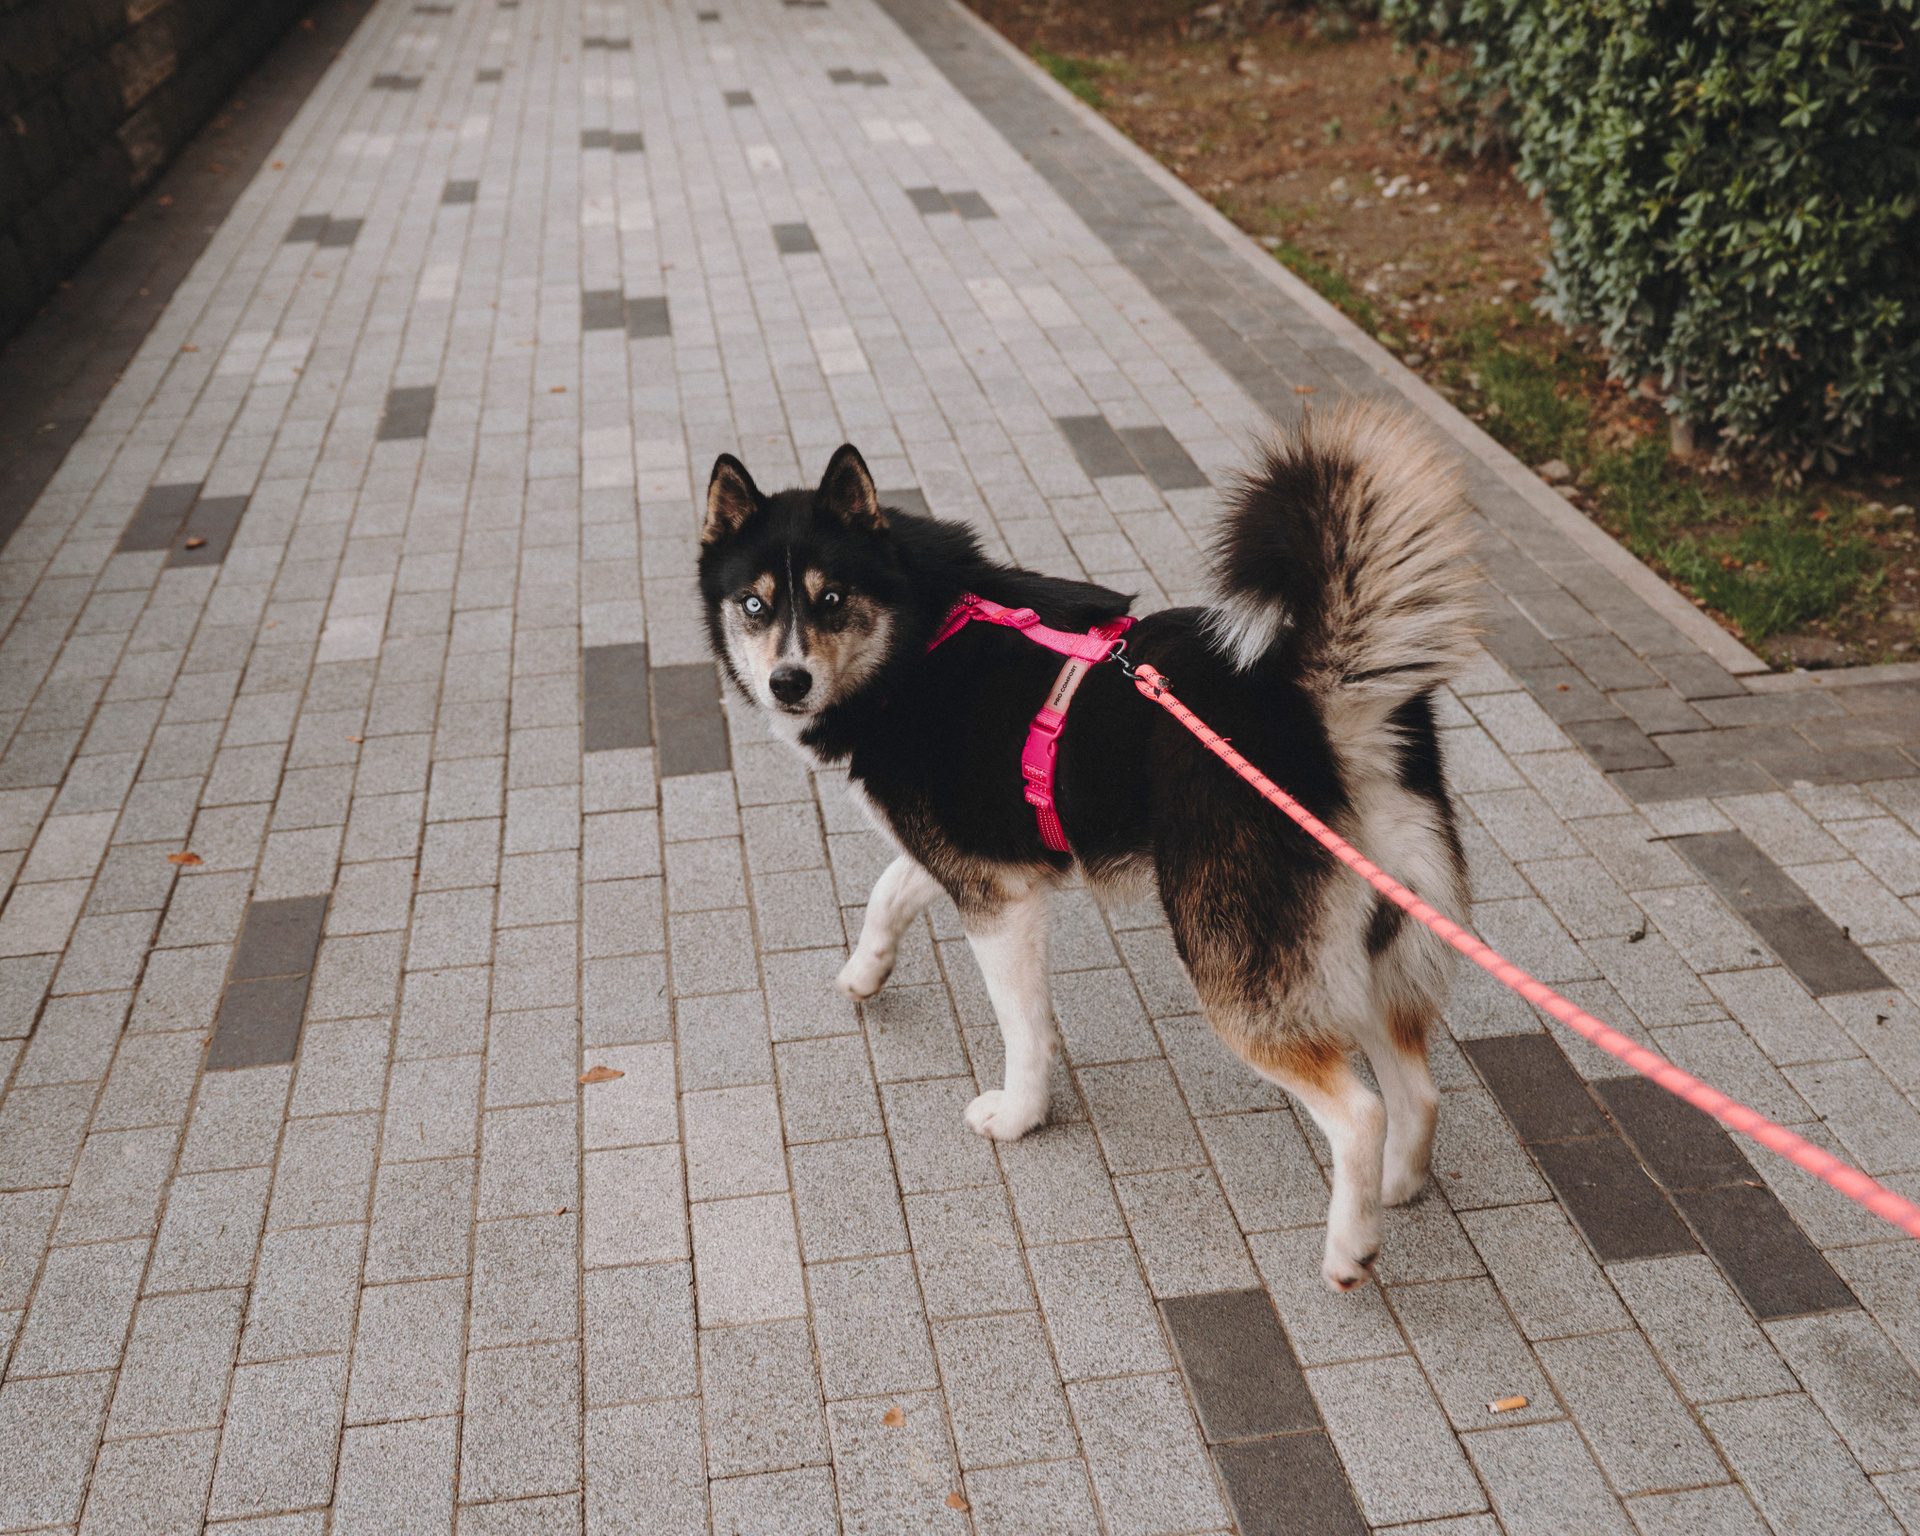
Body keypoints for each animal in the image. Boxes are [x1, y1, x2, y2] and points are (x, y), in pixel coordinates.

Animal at [698, 405, 1478, 1289]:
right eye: (754, 605)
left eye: (831, 599)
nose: (787, 681)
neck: (921, 636)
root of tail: (1320, 706)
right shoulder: (978, 861)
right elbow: (890, 891)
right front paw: (865, 972)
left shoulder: (999, 900)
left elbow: (1022, 1026)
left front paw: (1019, 1114)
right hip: (1370, 937)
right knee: (1417, 1090)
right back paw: (1400, 1187)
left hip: (1238, 961)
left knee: (1361, 1109)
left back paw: (1351, 1245)